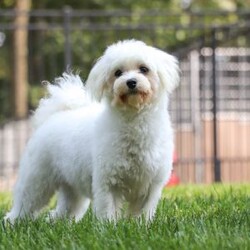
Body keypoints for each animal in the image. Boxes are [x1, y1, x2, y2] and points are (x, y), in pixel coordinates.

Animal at [4, 39, 180, 223]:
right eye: (118, 73)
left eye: (144, 69)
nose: (131, 82)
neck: (134, 120)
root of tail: (53, 116)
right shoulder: (108, 182)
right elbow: (108, 210)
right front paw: (109, 226)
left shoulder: (150, 185)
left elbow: (143, 213)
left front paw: (140, 226)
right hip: (36, 179)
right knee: (24, 204)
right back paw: (13, 222)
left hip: (71, 187)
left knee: (63, 210)